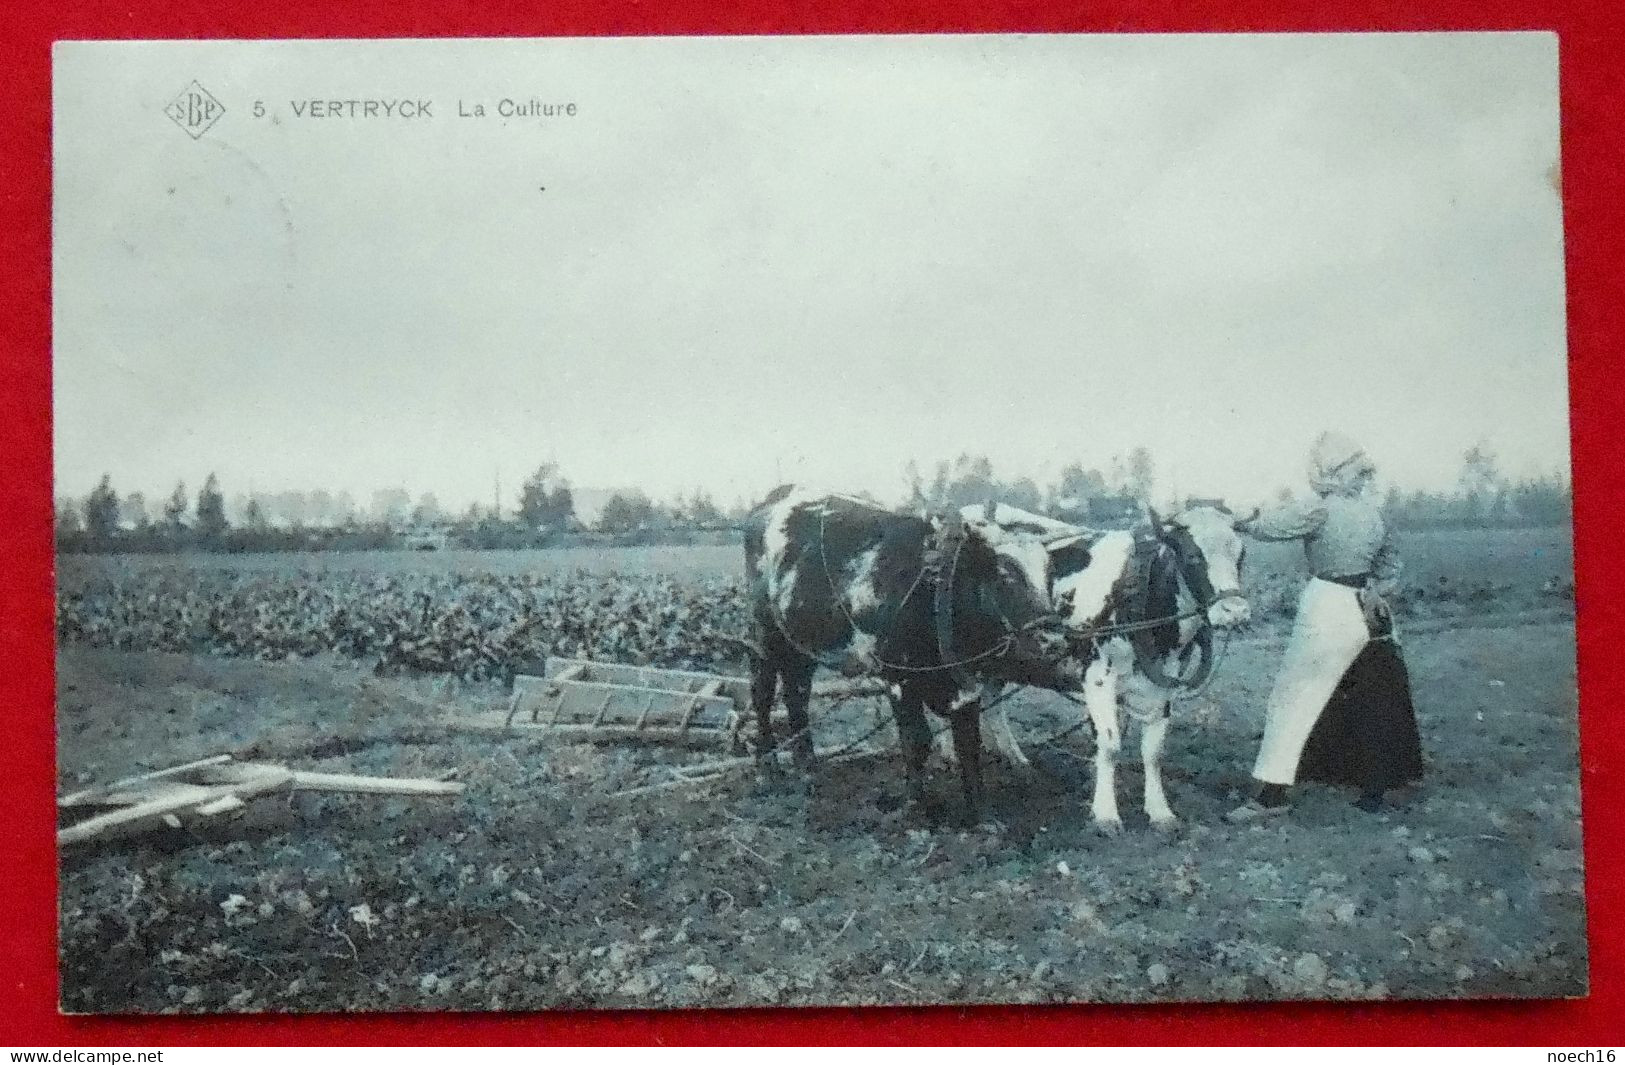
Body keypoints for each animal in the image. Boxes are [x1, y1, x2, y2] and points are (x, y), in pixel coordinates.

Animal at [744, 487, 1079, 819]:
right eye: (1004, 574)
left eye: (1050, 574)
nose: (1053, 641)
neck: (937, 591)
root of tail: (778, 497)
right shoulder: (898, 679)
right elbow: (917, 741)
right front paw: (916, 806)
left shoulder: (965, 686)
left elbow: (968, 744)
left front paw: (980, 816)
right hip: (763, 635)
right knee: (762, 695)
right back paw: (766, 768)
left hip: (800, 644)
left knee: (796, 694)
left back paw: (808, 765)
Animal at [955, 504, 1248, 838]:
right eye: (1192, 555)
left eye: (1241, 554)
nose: (1236, 611)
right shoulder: (1097, 677)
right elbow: (1109, 746)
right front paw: (1105, 815)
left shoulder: (1163, 683)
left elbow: (1154, 752)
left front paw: (1160, 812)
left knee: (992, 704)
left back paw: (1015, 759)